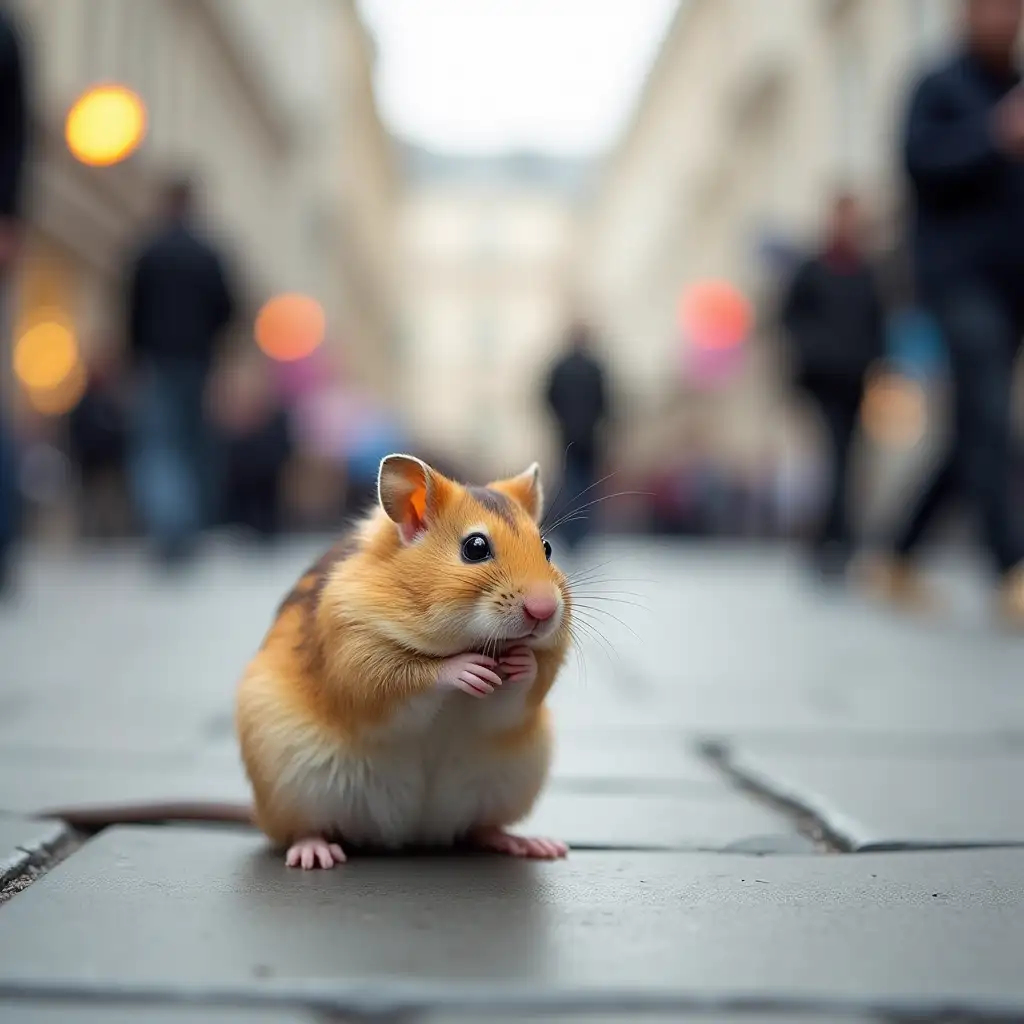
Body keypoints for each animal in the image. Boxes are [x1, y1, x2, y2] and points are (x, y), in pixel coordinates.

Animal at [232, 452, 573, 868]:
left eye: (547, 547)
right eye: (475, 547)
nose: (544, 610)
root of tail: (412, 835)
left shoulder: (519, 702)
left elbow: (523, 688)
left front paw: (523, 662)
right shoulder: (360, 659)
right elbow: (414, 677)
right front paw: (466, 669)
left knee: (480, 829)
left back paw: (530, 845)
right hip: (294, 789)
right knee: (302, 830)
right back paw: (314, 853)